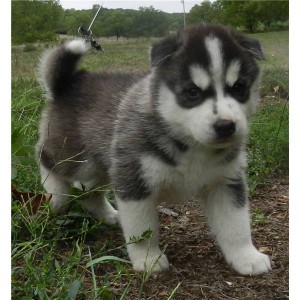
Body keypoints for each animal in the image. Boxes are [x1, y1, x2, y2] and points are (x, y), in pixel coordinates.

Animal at [37, 24, 272, 276]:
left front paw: (246, 257)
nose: (226, 126)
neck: (191, 145)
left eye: (239, 87)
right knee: (47, 159)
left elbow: (236, 226)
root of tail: (70, 81)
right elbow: (142, 229)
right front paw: (148, 259)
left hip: (105, 166)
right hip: (78, 159)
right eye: (192, 92)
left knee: (89, 192)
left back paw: (108, 214)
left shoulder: (226, 183)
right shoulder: (134, 182)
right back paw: (56, 195)